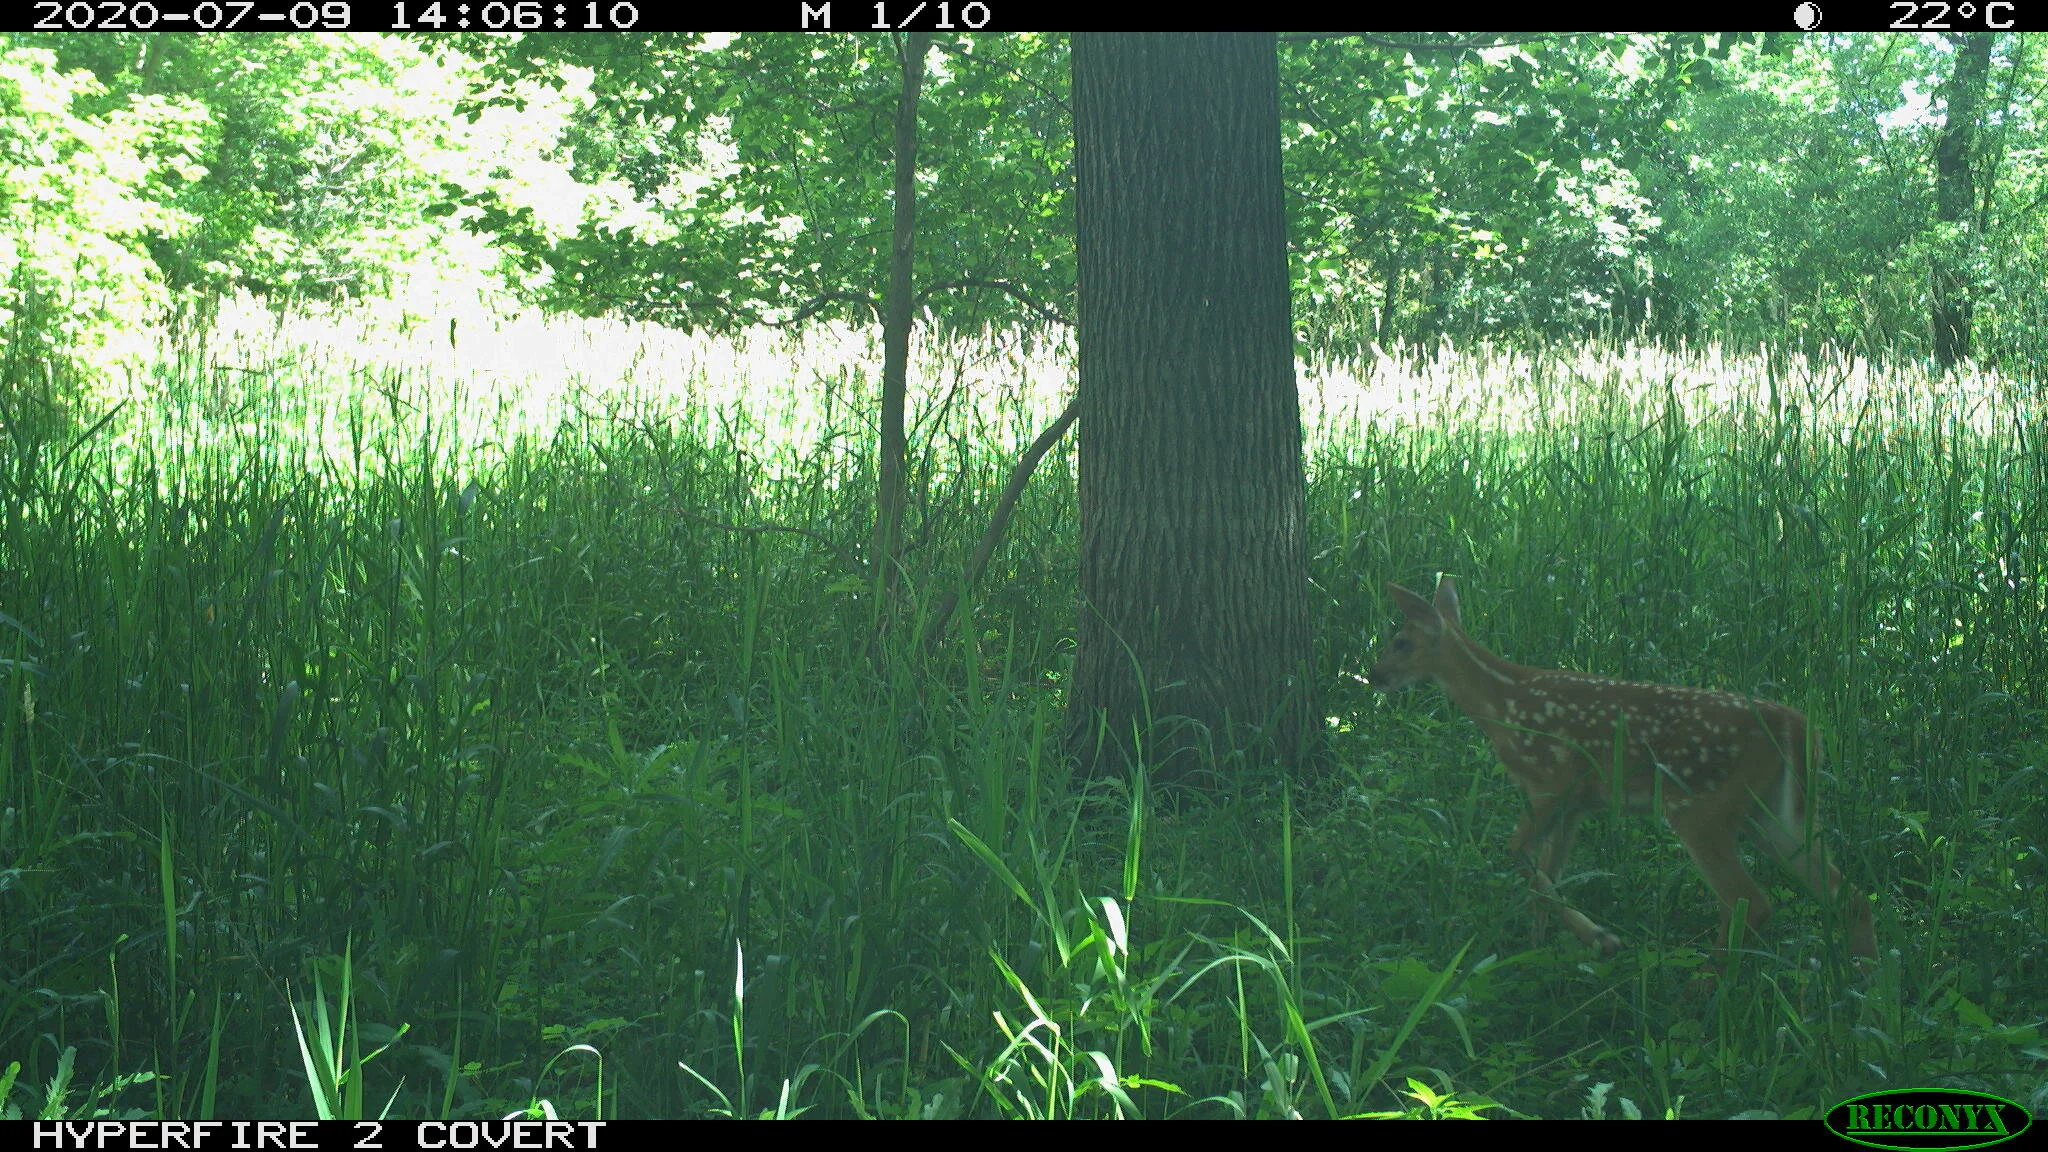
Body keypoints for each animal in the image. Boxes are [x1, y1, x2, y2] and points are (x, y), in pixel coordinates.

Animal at [1367, 575, 1878, 963]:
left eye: (1401, 642)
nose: (1374, 675)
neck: (1500, 703)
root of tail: (1799, 726)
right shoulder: (1577, 805)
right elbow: (1545, 878)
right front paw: (1539, 952)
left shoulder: (1552, 781)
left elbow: (1515, 855)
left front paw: (1600, 938)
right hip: (1776, 812)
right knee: (1850, 896)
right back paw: (1865, 987)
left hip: (1703, 804)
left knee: (1749, 902)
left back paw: (1701, 990)